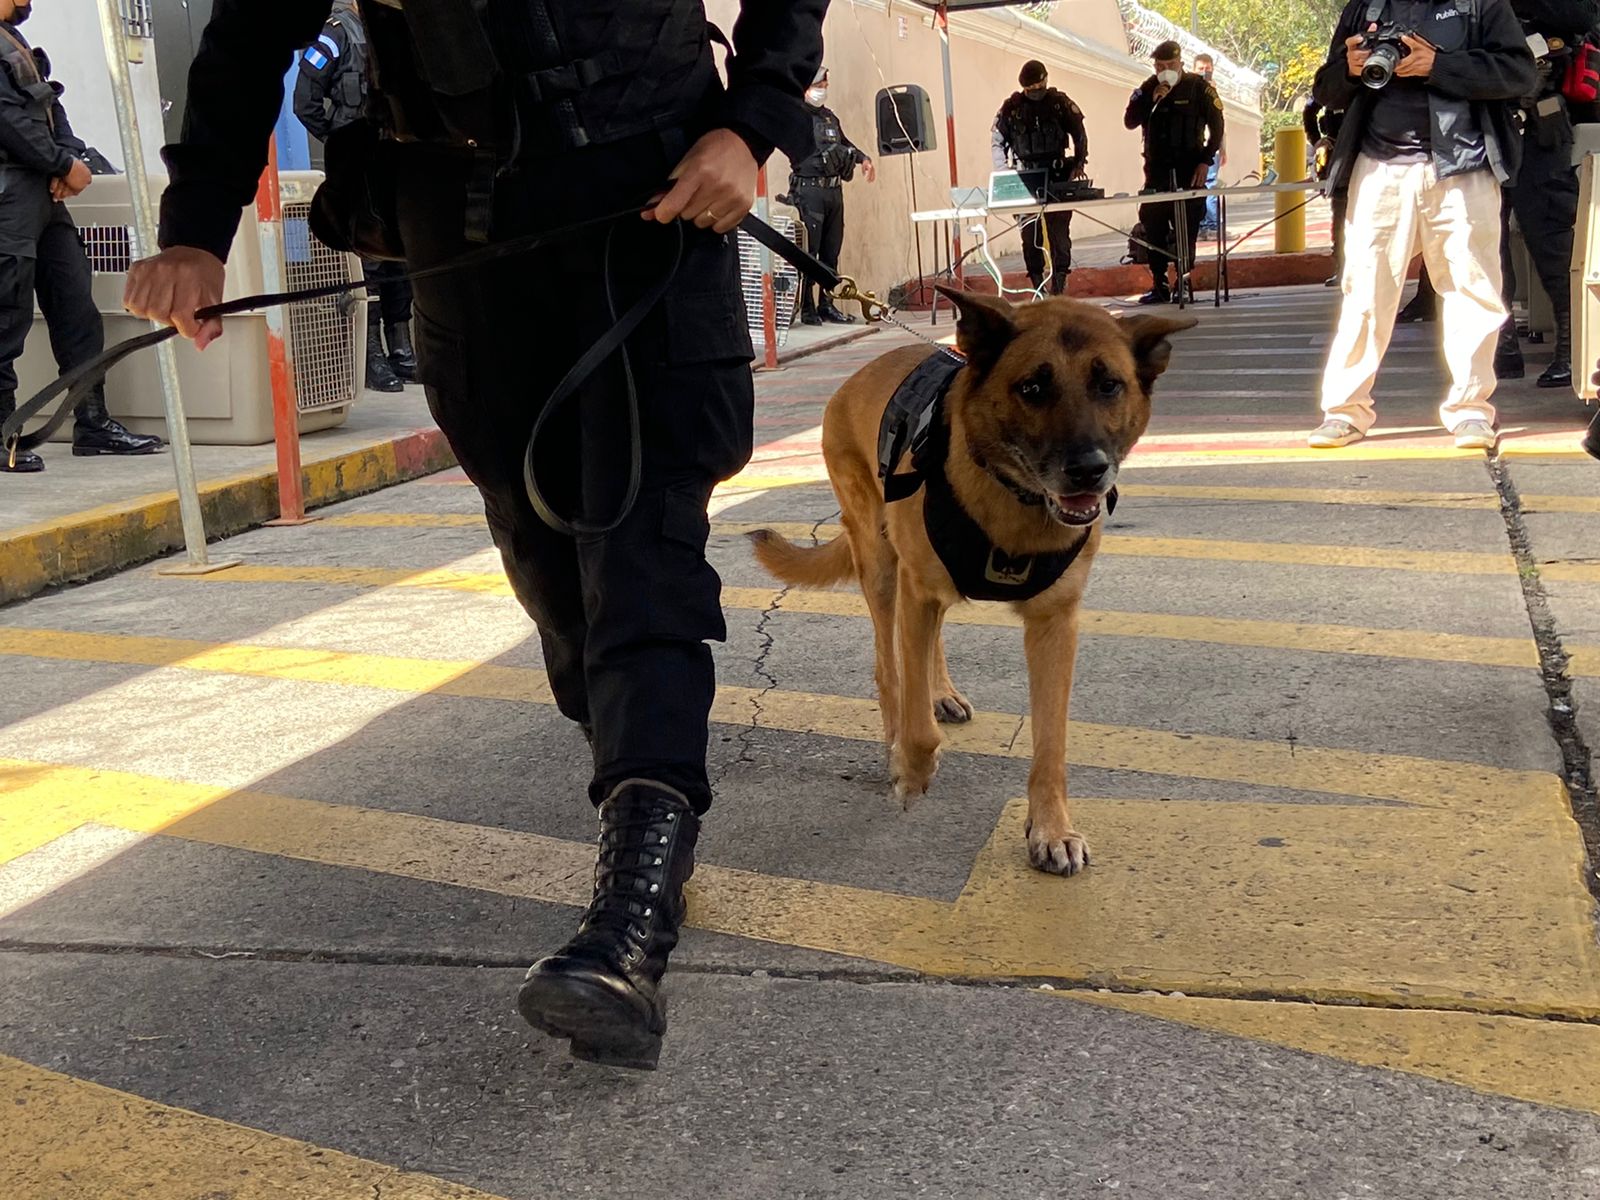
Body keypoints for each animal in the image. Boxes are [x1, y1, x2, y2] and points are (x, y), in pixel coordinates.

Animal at [748, 289, 1190, 876]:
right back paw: (896, 732)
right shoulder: (917, 591)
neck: (1012, 496)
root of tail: (853, 380)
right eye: (1033, 387)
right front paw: (911, 771)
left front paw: (1051, 828)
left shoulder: (1054, 625)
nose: (1089, 470)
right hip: (881, 567)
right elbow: (916, 724)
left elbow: (1051, 741)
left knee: (928, 643)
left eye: (1109, 384)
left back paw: (942, 693)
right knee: (890, 669)